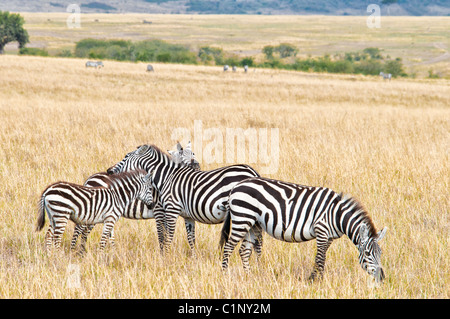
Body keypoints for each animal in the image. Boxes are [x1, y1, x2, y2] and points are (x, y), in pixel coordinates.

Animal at [106, 144, 260, 254]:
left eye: (125, 157)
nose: (109, 171)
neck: (166, 177)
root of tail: (252, 171)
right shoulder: (187, 216)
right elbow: (191, 239)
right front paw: (193, 259)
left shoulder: (169, 210)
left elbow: (166, 236)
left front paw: (165, 257)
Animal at [221, 178, 386, 284]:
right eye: (367, 254)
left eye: (380, 253)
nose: (382, 278)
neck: (337, 215)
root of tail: (236, 186)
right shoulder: (321, 230)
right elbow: (320, 258)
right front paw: (315, 281)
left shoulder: (329, 237)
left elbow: (321, 257)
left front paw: (316, 278)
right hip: (242, 218)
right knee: (228, 247)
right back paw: (225, 274)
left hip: (253, 224)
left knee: (244, 251)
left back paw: (248, 276)